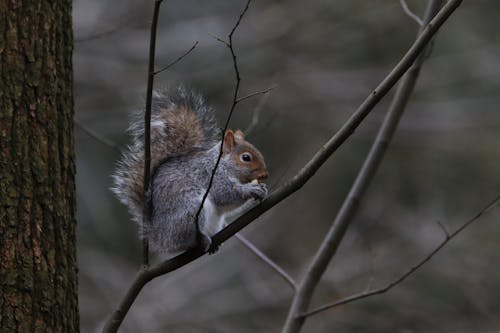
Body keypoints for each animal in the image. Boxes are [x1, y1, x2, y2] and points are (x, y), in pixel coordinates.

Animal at [111, 87, 268, 253]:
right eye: (246, 158)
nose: (265, 174)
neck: (221, 163)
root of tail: (160, 238)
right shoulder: (210, 175)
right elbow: (225, 194)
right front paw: (251, 189)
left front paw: (262, 189)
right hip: (191, 211)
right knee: (184, 241)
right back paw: (201, 240)